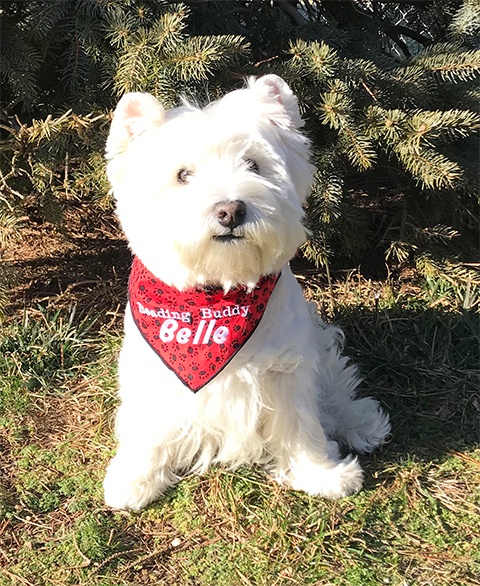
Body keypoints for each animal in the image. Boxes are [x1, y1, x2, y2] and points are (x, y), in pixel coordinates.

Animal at [102, 75, 390, 508]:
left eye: (254, 164)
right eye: (183, 175)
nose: (230, 210)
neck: (217, 292)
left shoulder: (287, 369)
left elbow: (303, 422)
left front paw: (321, 474)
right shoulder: (152, 373)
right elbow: (147, 427)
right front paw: (135, 478)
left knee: (335, 389)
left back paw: (361, 422)